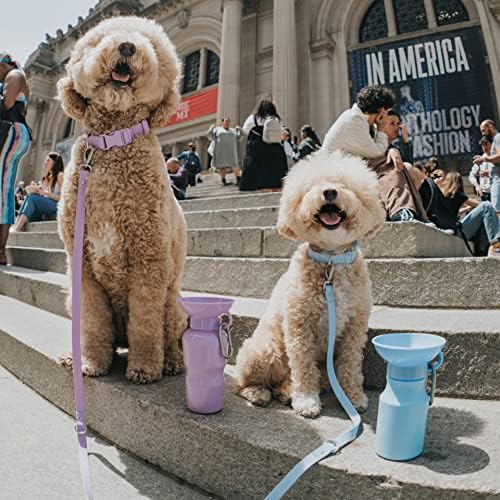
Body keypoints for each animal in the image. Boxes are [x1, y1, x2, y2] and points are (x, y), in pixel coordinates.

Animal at [56, 15, 186, 382]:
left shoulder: (149, 258)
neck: (113, 142)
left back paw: (170, 362)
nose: (127, 46)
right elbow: (92, 323)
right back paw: (74, 356)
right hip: (72, 299)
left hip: (174, 304)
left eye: (152, 45)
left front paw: (144, 368)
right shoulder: (82, 265)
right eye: (101, 37)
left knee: (168, 335)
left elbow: (146, 324)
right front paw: (90, 363)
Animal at [236, 152, 384, 418]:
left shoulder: (355, 327)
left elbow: (349, 364)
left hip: (321, 369)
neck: (331, 262)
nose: (330, 191)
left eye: (344, 185)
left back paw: (286, 392)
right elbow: (303, 365)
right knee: (244, 382)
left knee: (290, 380)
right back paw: (259, 393)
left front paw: (353, 398)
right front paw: (306, 401)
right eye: (311, 187)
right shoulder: (299, 325)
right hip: (264, 350)